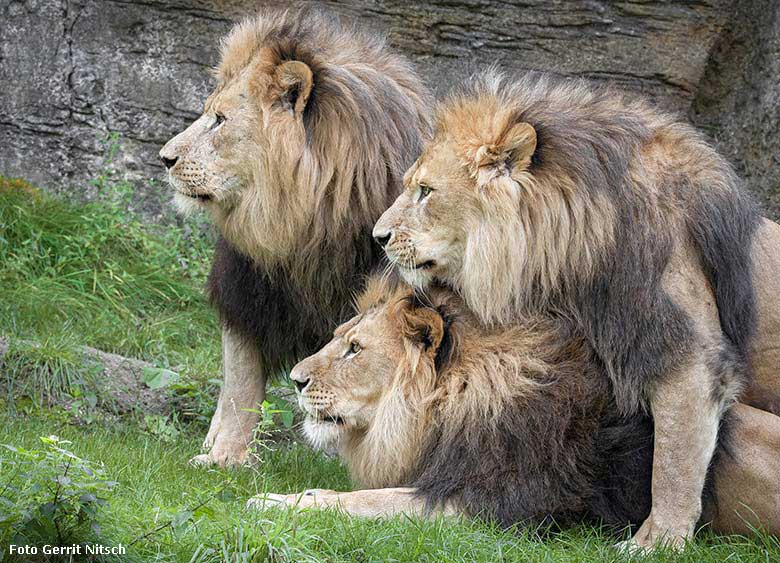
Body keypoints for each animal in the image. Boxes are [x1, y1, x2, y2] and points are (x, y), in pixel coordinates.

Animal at [155, 7, 430, 468]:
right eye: (208, 113)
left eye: (220, 121)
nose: (165, 158)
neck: (304, 227)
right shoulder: (246, 290)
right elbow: (240, 383)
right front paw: (225, 458)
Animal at [250, 278, 780, 540]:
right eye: (340, 338)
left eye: (355, 349)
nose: (295, 379)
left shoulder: (485, 500)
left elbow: (365, 502)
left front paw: (273, 502)